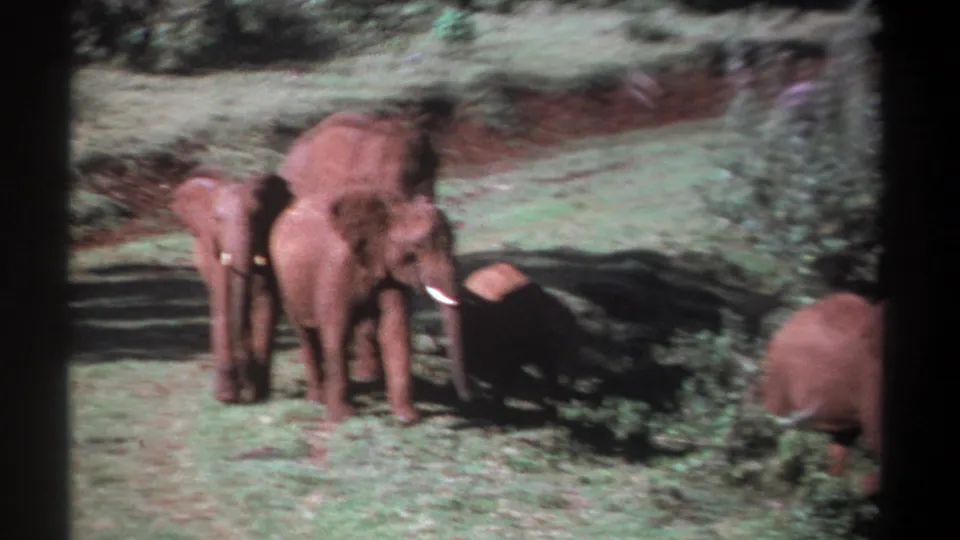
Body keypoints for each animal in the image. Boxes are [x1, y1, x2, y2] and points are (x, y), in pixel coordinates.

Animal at [170, 166, 294, 404]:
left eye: (257, 216)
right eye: (217, 218)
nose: (245, 383)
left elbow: (266, 301)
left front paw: (258, 394)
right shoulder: (215, 250)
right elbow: (223, 300)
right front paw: (227, 397)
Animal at [269, 188, 472, 425]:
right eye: (417, 248)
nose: (467, 398)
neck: (391, 209)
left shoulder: (390, 272)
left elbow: (395, 330)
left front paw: (408, 418)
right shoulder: (335, 269)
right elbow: (336, 332)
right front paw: (342, 417)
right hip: (285, 282)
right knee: (306, 334)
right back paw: (317, 400)